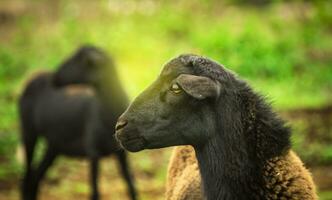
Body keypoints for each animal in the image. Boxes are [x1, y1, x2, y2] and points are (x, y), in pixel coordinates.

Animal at [17, 46, 137, 200]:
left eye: (80, 61)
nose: (55, 78)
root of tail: (33, 77)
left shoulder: (121, 154)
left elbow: (131, 186)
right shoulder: (93, 151)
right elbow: (95, 193)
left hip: (54, 145)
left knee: (35, 178)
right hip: (28, 132)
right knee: (26, 179)